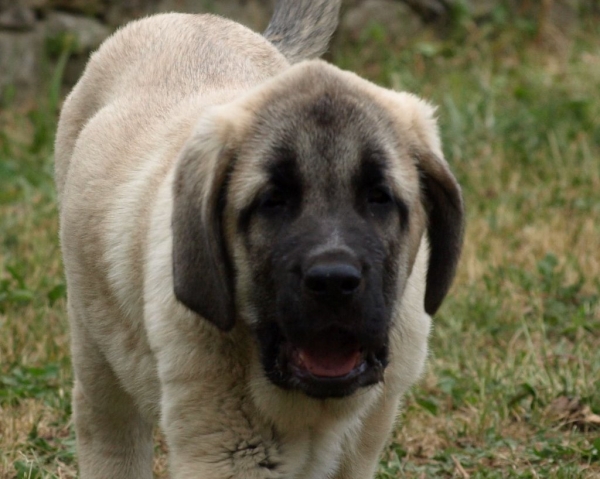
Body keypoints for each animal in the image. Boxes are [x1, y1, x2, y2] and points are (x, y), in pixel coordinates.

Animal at [55, 1, 464, 478]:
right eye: (273, 202)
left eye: (379, 198)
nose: (333, 282)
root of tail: (188, 17)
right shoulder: (222, 449)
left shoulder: (363, 441)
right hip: (95, 343)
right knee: (108, 426)